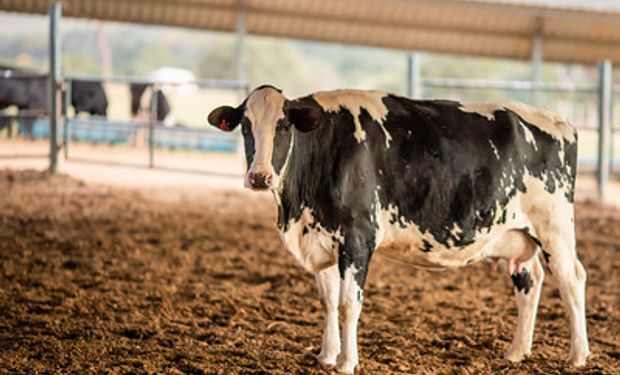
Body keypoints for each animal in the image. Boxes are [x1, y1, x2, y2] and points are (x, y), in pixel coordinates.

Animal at [207, 86, 588, 375]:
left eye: (284, 125)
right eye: (245, 126)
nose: (259, 177)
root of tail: (560, 121)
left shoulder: (357, 239)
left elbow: (348, 303)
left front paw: (347, 362)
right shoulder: (320, 238)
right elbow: (327, 301)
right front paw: (326, 356)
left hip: (554, 226)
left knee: (572, 279)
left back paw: (578, 355)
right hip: (515, 233)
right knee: (530, 280)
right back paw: (516, 351)